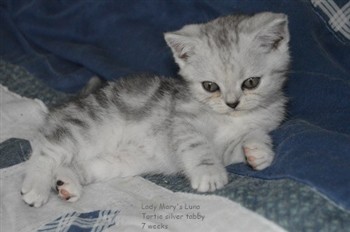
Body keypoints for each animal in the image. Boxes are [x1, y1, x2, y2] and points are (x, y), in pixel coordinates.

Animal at [21, 11, 290, 208]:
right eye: (210, 86)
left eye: (251, 82)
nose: (232, 103)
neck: (230, 119)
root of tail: (69, 104)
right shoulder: (182, 121)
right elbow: (198, 145)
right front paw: (209, 173)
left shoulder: (234, 141)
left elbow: (246, 140)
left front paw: (258, 151)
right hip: (87, 125)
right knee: (47, 150)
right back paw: (35, 186)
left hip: (116, 162)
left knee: (76, 163)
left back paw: (67, 183)